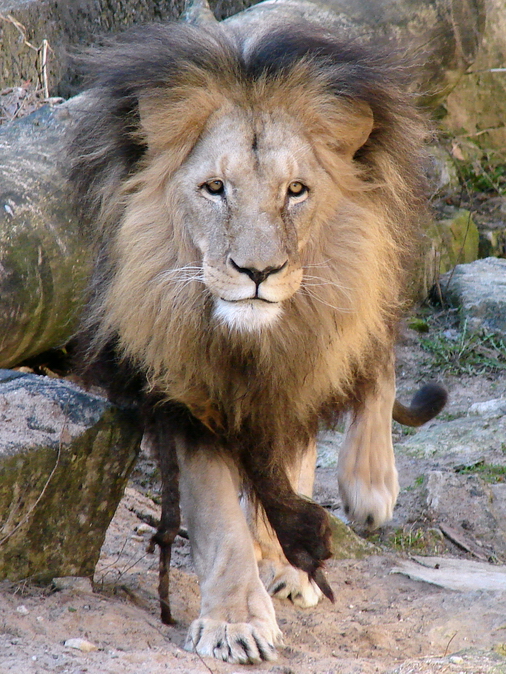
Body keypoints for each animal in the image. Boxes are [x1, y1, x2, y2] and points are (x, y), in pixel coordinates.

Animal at [68, 13, 446, 666]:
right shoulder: (187, 388)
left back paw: (366, 491)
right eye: (215, 188)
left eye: (296, 190)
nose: (258, 272)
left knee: (374, 356)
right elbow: (221, 512)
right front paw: (237, 622)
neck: (250, 345)